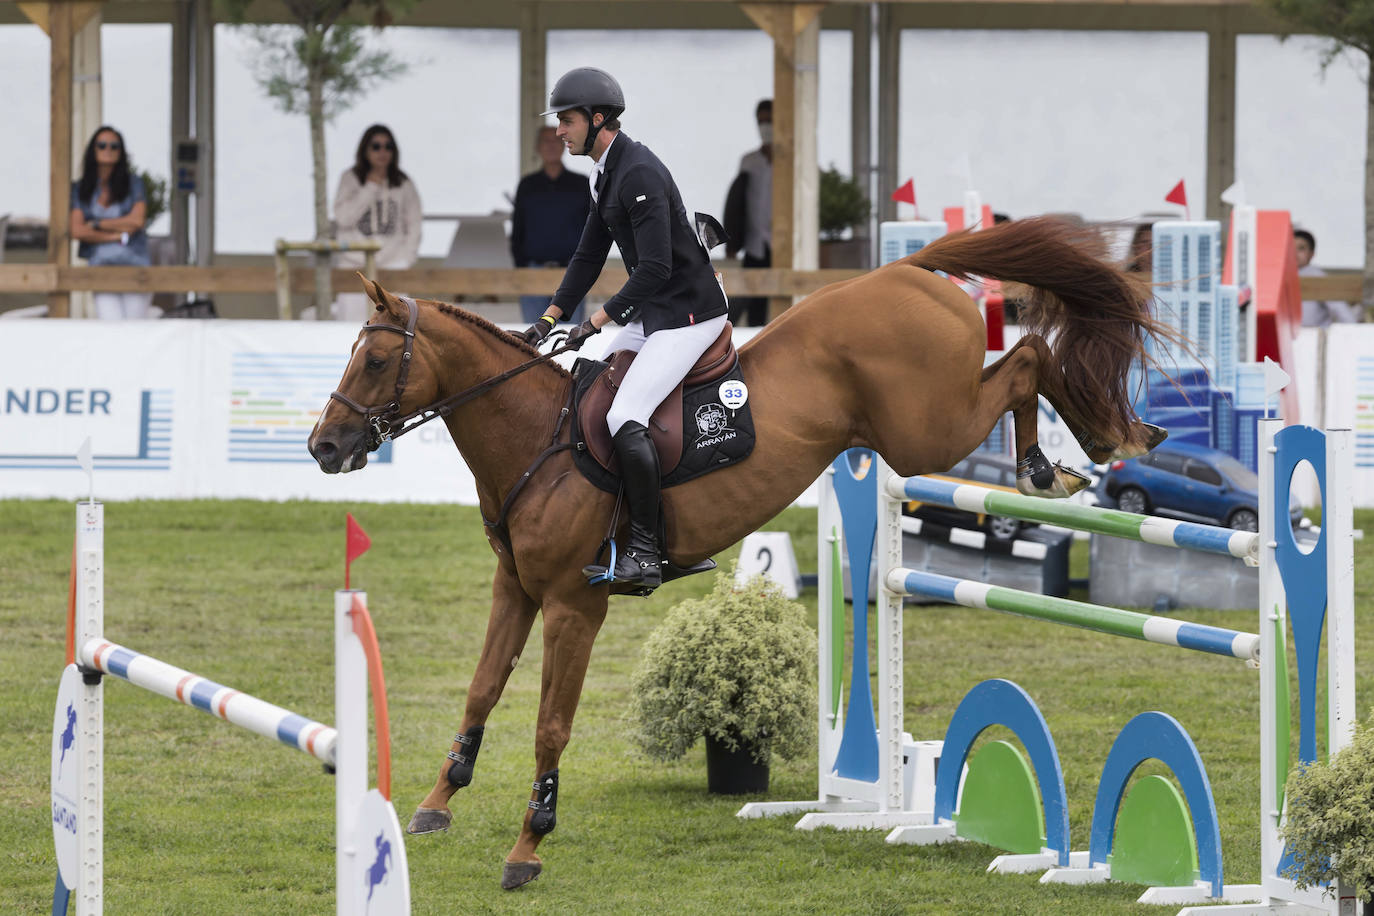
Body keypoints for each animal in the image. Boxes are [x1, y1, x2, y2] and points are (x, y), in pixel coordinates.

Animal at [309, 215, 1170, 889]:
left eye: (376, 360)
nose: (324, 447)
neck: (534, 439)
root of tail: (907, 270)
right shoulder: (514, 589)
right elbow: (482, 691)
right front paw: (436, 802)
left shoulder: (574, 606)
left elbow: (551, 724)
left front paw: (528, 847)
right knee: (1026, 365)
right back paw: (1083, 448)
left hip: (928, 427)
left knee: (1027, 363)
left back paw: (1076, 451)